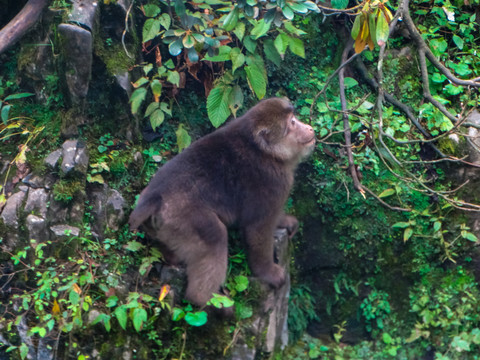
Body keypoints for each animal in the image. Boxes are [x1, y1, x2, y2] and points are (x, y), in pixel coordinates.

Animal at [128, 97, 316, 310]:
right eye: (292, 123)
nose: (309, 128)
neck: (265, 152)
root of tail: (153, 197)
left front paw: (284, 221)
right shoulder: (272, 181)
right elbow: (257, 228)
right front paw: (268, 272)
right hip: (182, 217)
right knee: (215, 236)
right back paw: (207, 301)